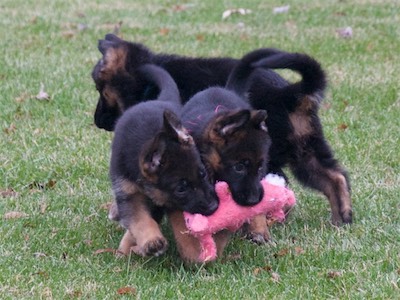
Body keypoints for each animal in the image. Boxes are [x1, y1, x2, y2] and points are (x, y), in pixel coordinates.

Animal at [110, 64, 219, 256]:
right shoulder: (129, 193)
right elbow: (139, 220)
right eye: (181, 189)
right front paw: (151, 241)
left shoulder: (160, 200)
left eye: (203, 174)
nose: (214, 207)